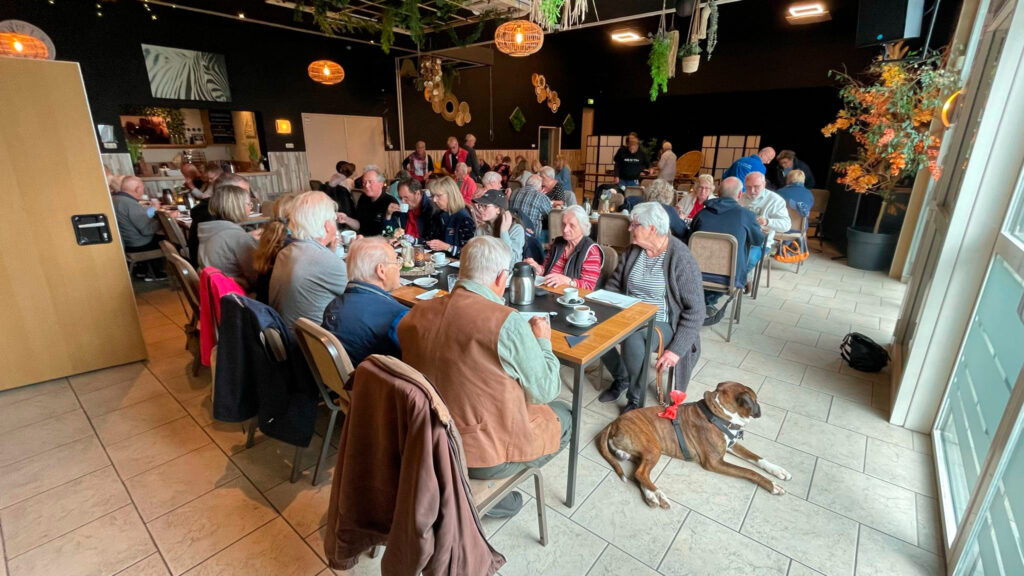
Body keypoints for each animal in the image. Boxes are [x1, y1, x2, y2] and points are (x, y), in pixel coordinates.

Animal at [598, 381, 790, 506]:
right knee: (641, 474)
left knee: (638, 474)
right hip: (653, 449)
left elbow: (757, 458)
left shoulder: (732, 445)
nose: (760, 408)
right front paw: (772, 486)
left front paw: (778, 471)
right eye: (755, 399)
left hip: (641, 453)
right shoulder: (715, 462)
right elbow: (749, 471)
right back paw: (658, 494)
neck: (718, 414)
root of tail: (614, 423)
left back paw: (651, 495)